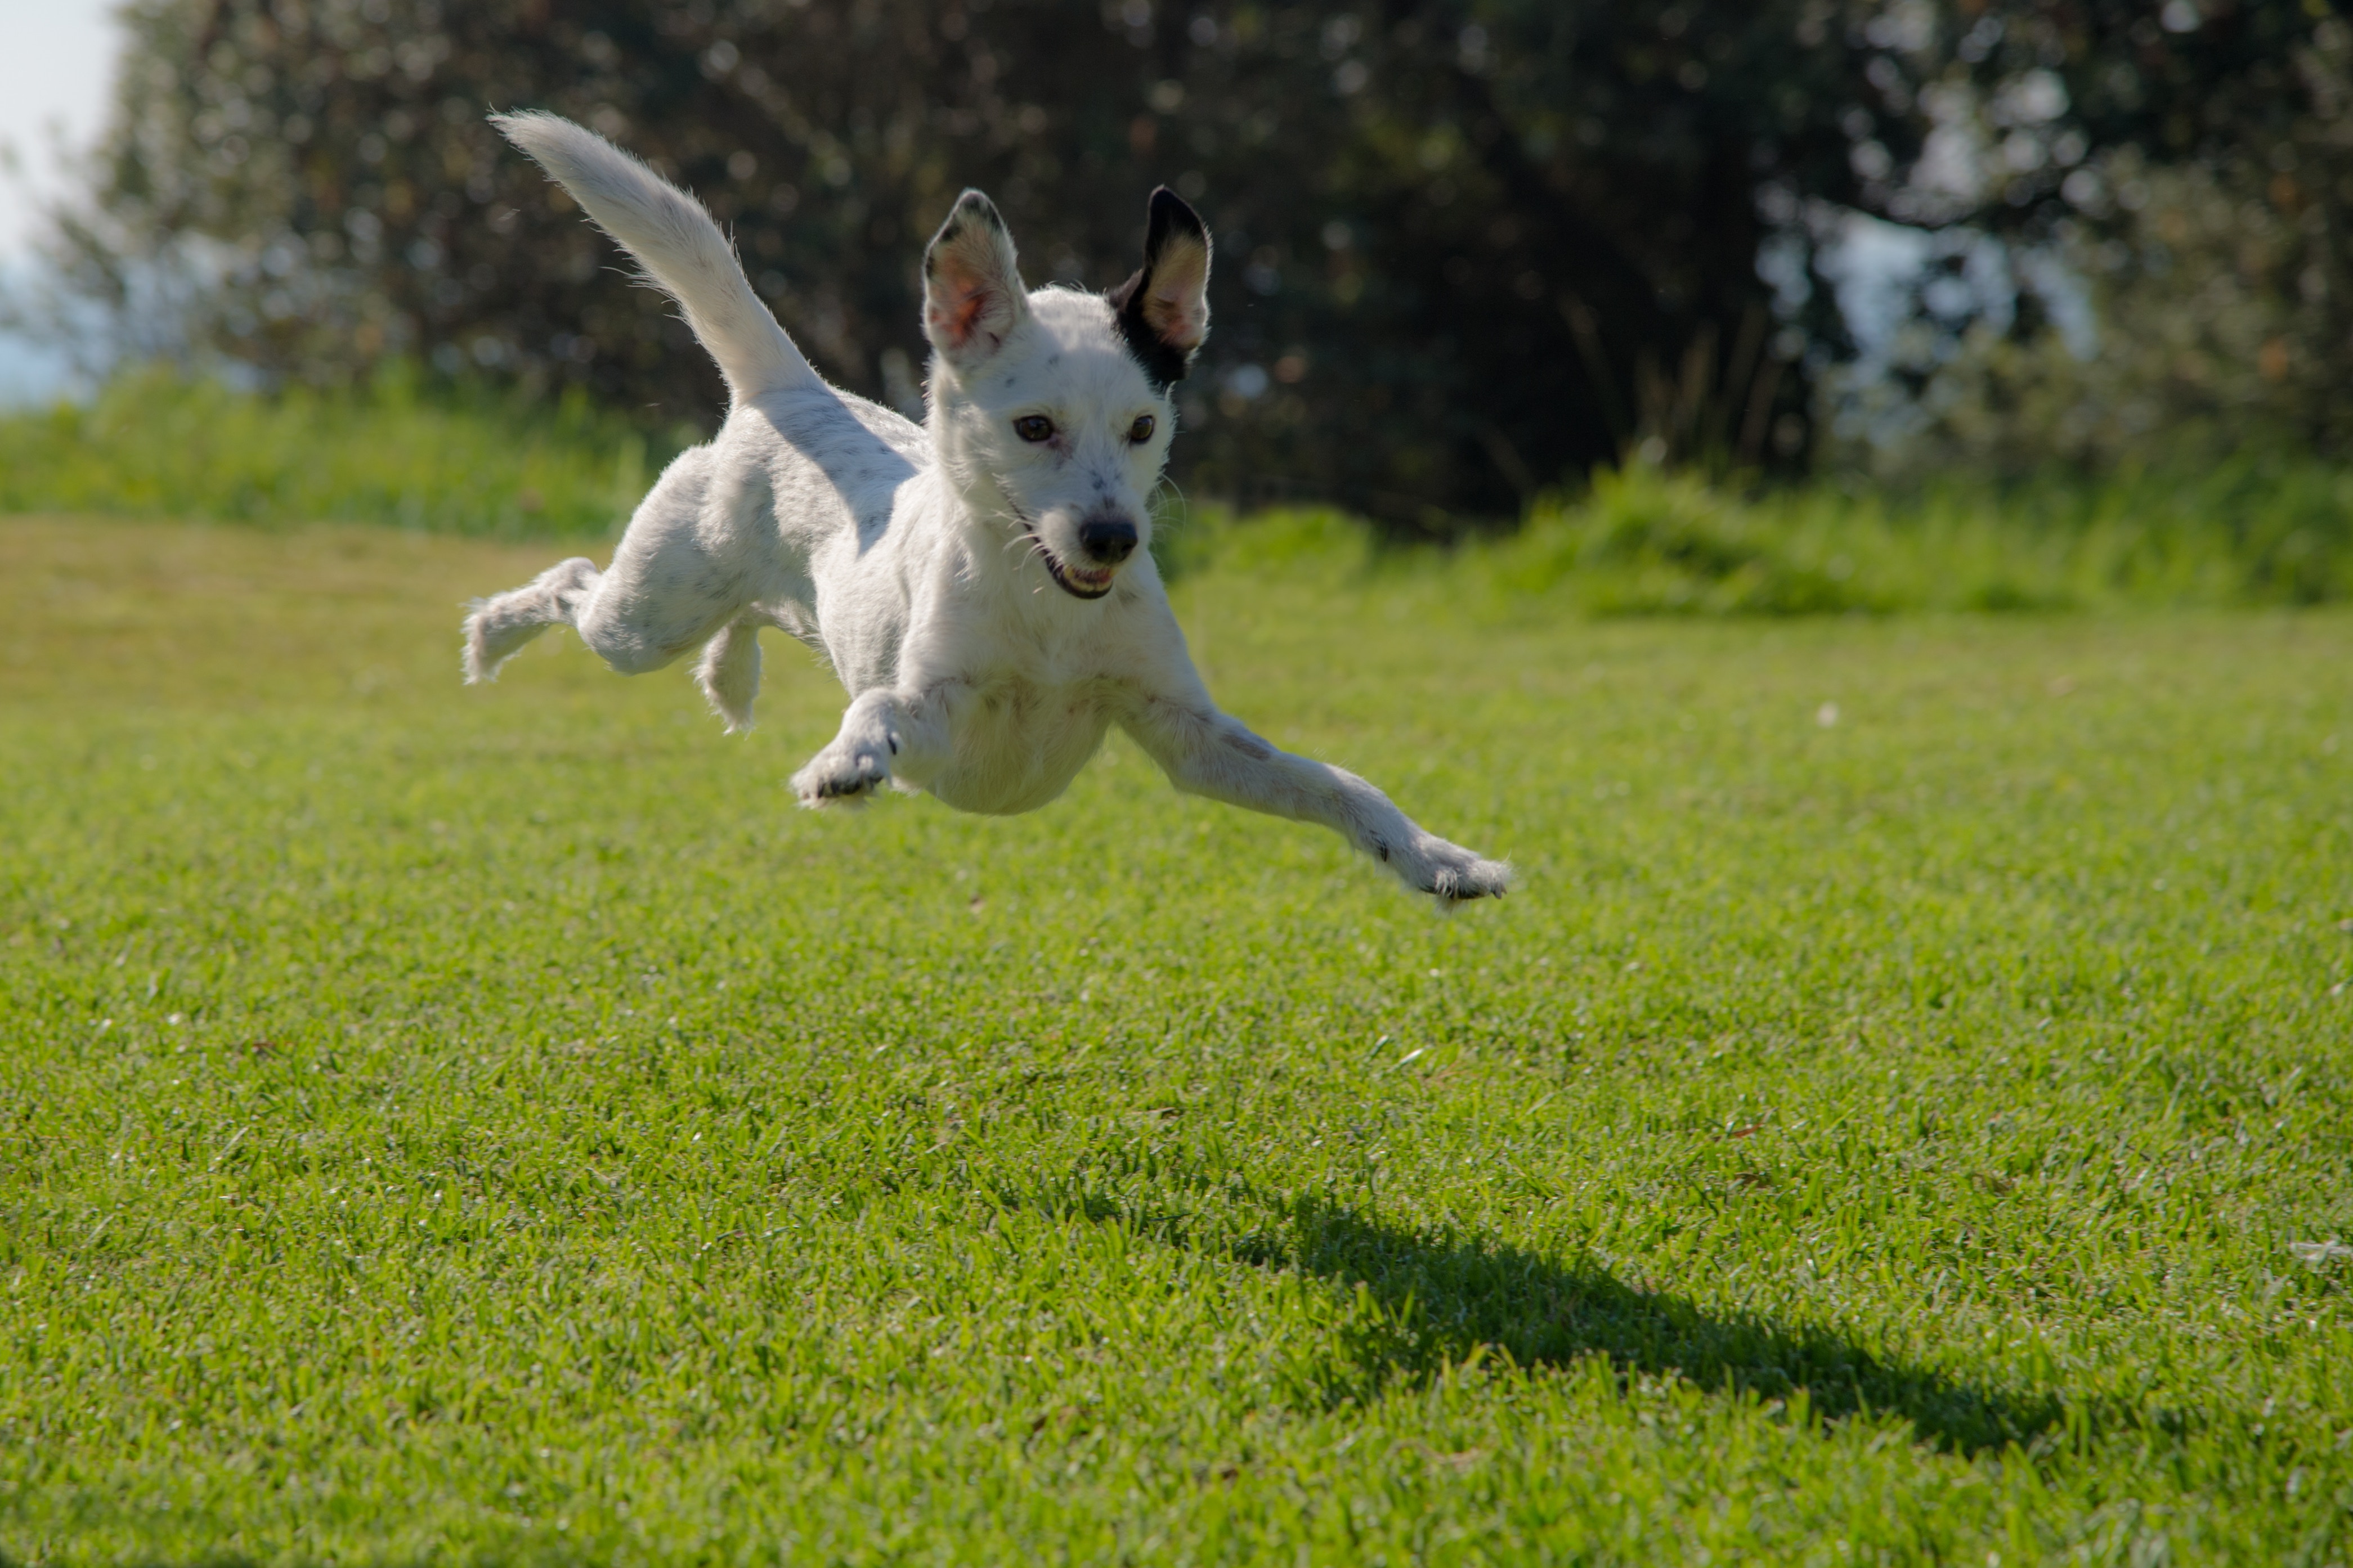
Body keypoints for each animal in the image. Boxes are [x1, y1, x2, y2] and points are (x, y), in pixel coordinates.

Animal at [468, 113, 1515, 907]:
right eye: (1034, 426)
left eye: (1143, 426)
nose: (1113, 538)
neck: (1047, 612)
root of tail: (791, 390)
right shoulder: (940, 717)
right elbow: (881, 706)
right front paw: (845, 760)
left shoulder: (1189, 735)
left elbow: (1339, 782)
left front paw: (1437, 858)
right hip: (647, 615)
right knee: (573, 583)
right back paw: (491, 635)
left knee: (744, 619)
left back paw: (730, 673)